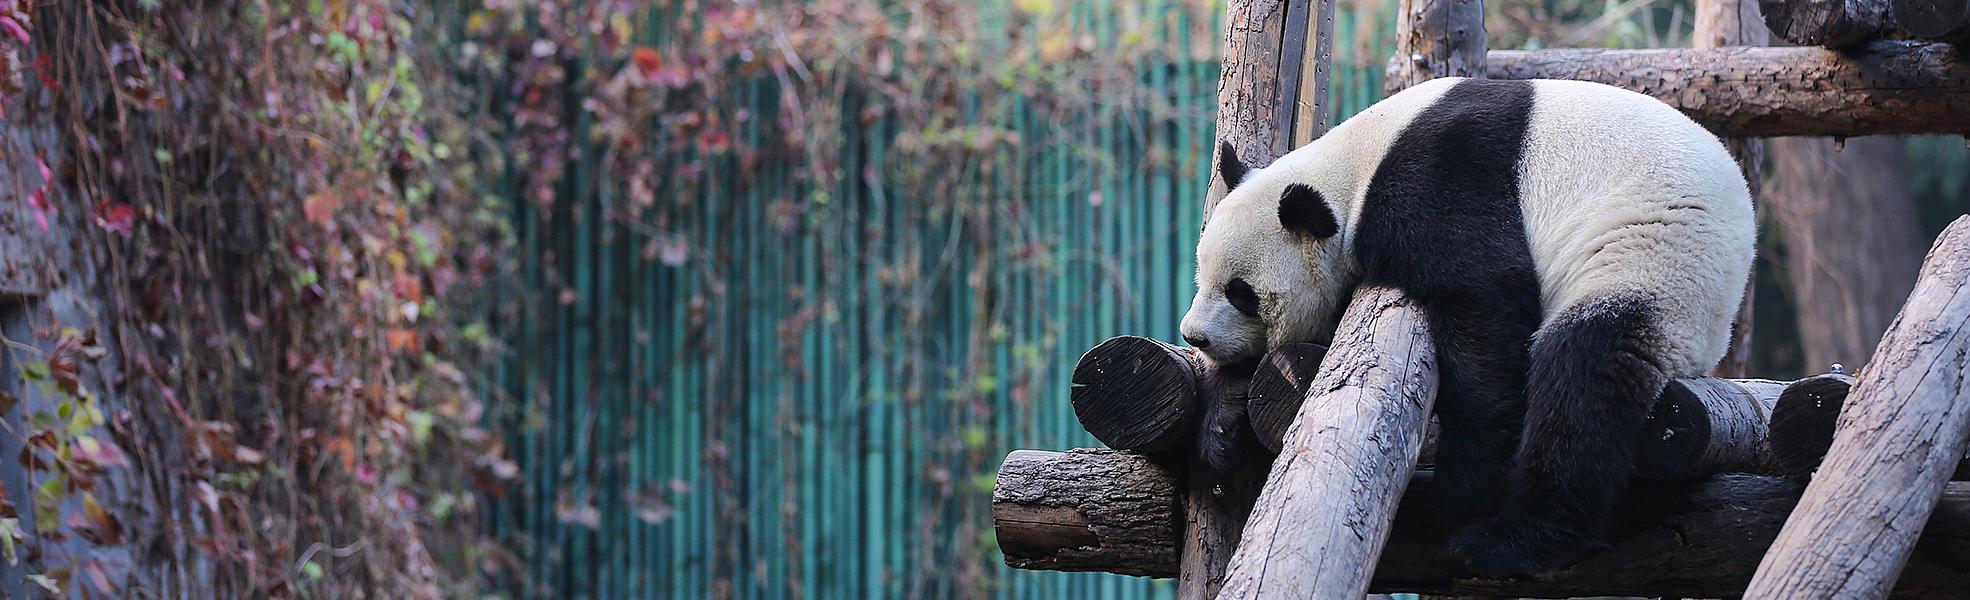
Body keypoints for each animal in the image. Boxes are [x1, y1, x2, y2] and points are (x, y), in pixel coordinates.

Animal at [1182, 75, 1757, 574]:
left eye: (1241, 293)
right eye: (1200, 272)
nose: (1194, 335)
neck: (1354, 168)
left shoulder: (1442, 183)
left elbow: (1488, 305)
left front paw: (1463, 490)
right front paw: (1221, 423)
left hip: (1654, 257)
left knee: (1586, 375)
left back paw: (1512, 543)